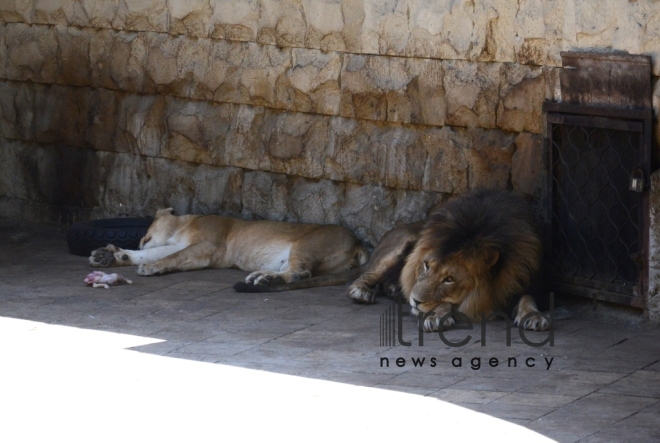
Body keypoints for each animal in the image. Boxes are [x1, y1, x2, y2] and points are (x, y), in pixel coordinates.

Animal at [88, 208, 368, 284]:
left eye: (145, 236)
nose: (140, 241)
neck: (184, 224)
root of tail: (357, 242)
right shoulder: (178, 244)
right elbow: (159, 253)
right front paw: (110, 256)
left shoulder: (209, 247)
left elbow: (174, 257)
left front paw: (152, 267)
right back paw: (261, 277)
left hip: (308, 244)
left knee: (301, 273)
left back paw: (265, 280)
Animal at [348, 190, 548, 332]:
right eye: (426, 266)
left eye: (449, 279)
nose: (414, 300)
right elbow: (446, 304)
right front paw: (435, 317)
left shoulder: (526, 285)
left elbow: (527, 298)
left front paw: (535, 316)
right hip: (399, 246)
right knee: (363, 276)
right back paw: (362, 292)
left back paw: (394, 290)